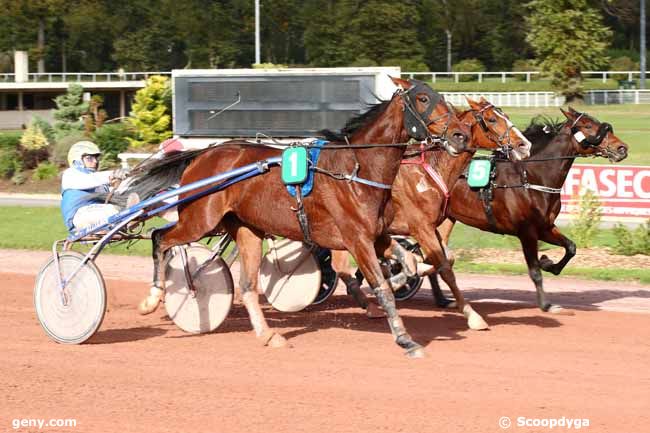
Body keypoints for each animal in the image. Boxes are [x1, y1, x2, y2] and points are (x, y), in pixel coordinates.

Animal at [135, 78, 466, 358]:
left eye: (442, 97)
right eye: (423, 98)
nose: (459, 135)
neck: (357, 170)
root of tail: (203, 155)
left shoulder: (378, 236)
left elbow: (409, 262)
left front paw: (399, 278)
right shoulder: (357, 240)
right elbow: (382, 289)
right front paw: (406, 339)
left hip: (246, 229)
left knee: (247, 285)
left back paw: (269, 335)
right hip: (200, 219)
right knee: (160, 238)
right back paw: (154, 298)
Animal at [330, 97, 532, 328]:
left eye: (504, 115)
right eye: (492, 119)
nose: (524, 145)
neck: (428, 172)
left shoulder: (432, 226)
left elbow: (444, 259)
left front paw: (403, 275)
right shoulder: (421, 227)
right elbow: (444, 268)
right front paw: (473, 316)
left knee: (340, 267)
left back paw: (370, 305)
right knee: (340, 266)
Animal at [428, 105, 624, 314]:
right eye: (587, 125)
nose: (622, 148)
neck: (531, 177)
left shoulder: (544, 227)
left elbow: (571, 247)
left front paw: (549, 263)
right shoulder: (526, 231)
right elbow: (535, 271)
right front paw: (546, 304)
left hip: (445, 220)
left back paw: (442, 299)